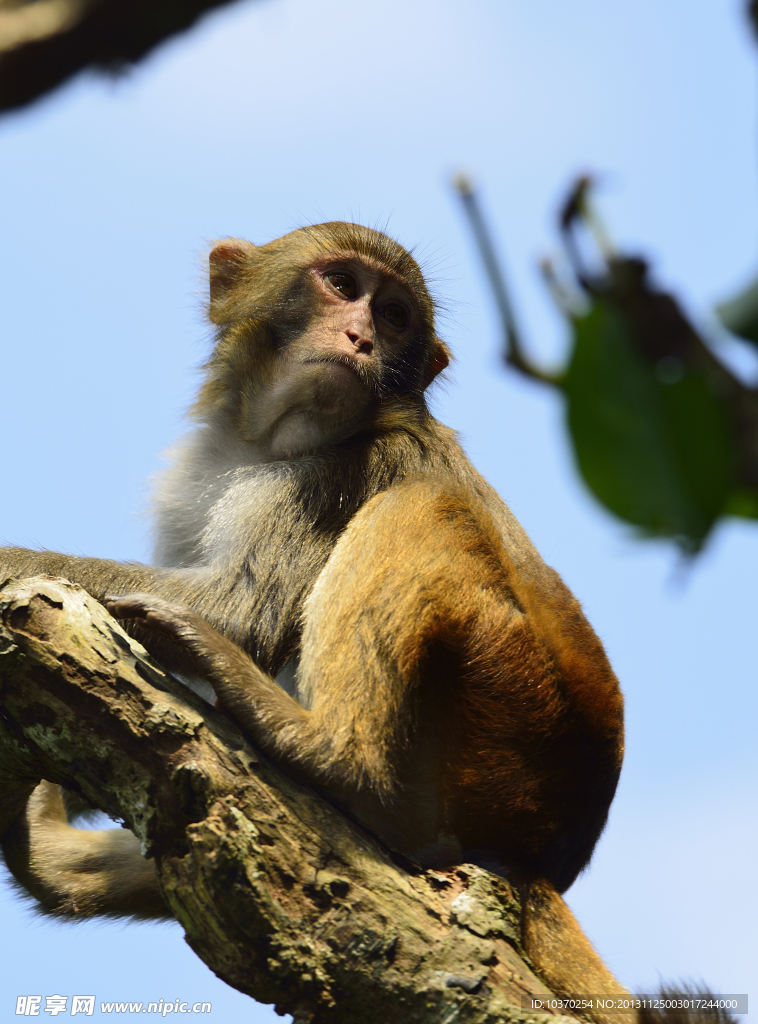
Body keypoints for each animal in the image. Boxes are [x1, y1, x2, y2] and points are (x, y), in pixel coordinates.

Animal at [0, 220, 626, 1011]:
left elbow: (240, 611)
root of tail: (544, 852)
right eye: (343, 285)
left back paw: (336, 758)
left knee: (422, 506)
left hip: (507, 714)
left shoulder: (336, 479)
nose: (360, 336)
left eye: (396, 316)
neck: (268, 443)